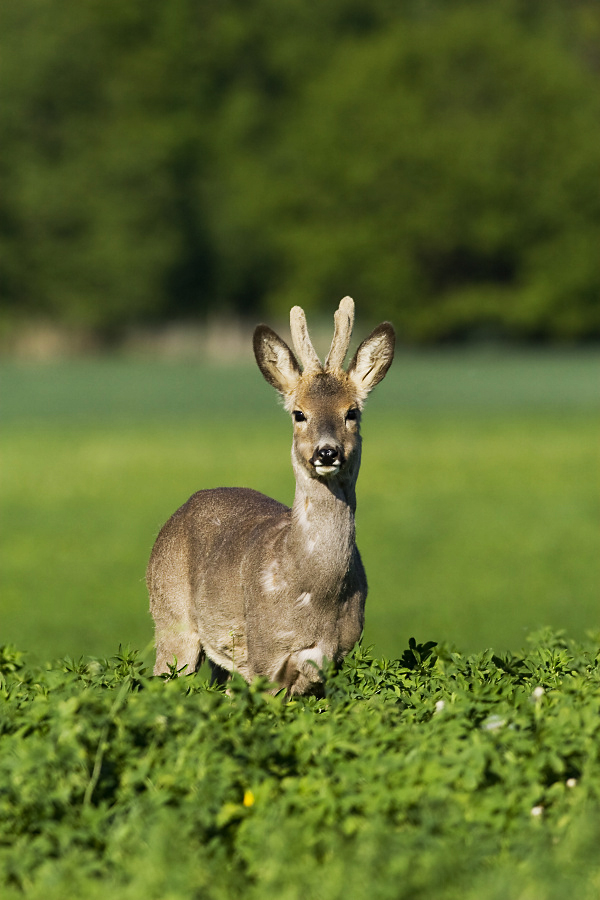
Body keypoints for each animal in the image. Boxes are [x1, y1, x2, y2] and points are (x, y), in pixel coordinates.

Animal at [148, 298, 396, 696]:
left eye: (352, 412)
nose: (327, 452)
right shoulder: (264, 655)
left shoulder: (336, 658)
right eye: (299, 413)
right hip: (170, 616)